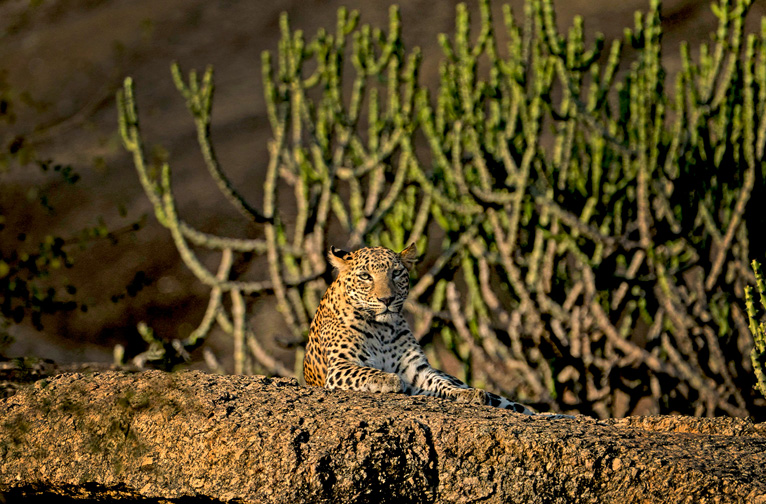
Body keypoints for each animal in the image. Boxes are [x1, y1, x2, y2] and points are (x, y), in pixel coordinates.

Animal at [302, 243, 536, 414]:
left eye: (396, 273)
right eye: (365, 276)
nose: (387, 299)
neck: (381, 329)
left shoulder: (416, 371)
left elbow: (442, 384)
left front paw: (468, 394)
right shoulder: (341, 366)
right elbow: (366, 371)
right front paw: (388, 379)